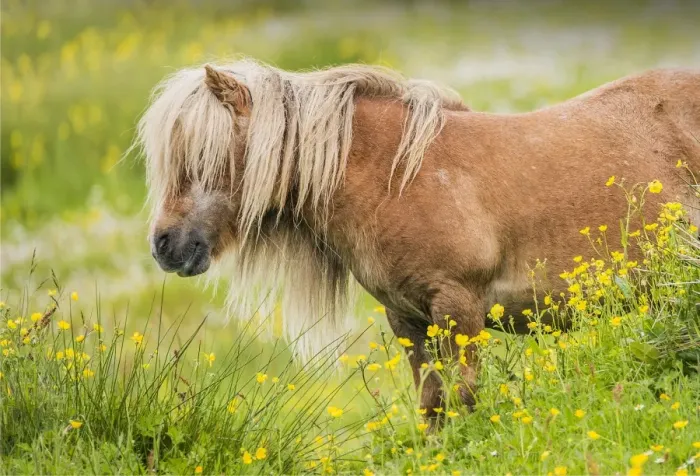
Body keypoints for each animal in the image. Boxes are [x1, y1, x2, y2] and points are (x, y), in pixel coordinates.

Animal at [135, 59, 700, 417]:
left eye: (204, 155)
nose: (165, 245)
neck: (396, 177)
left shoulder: (459, 308)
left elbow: (464, 399)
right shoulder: (407, 318)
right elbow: (431, 403)